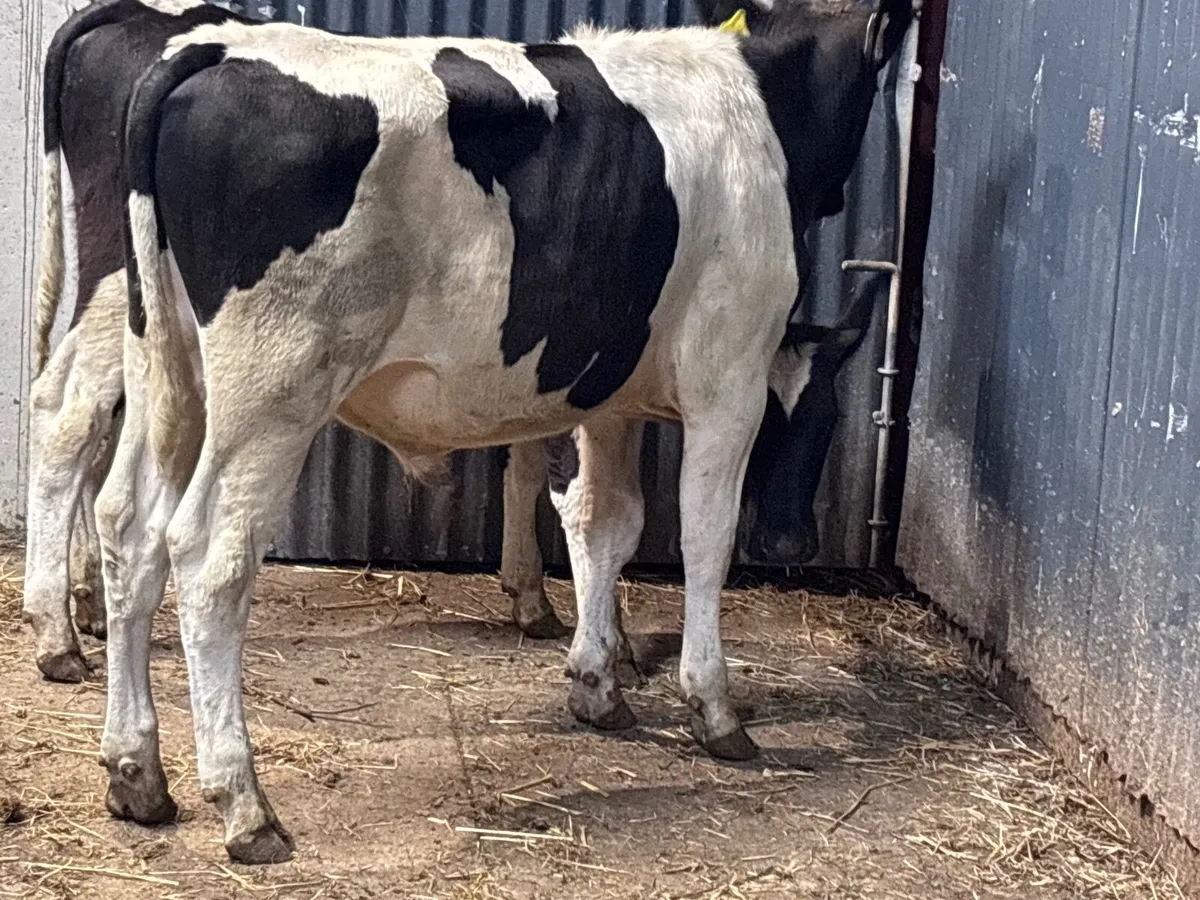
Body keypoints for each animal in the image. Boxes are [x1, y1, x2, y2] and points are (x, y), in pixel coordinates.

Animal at [93, 0, 909, 863]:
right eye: (822, 418)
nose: (793, 543)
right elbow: (703, 537)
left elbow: (607, 523)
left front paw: (597, 687)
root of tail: (214, 48)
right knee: (208, 556)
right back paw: (244, 805)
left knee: (128, 525)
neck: (756, 100)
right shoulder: (732, 379)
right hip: (273, 389)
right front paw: (714, 709)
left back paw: (136, 773)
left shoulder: (610, 395)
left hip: (166, 367)